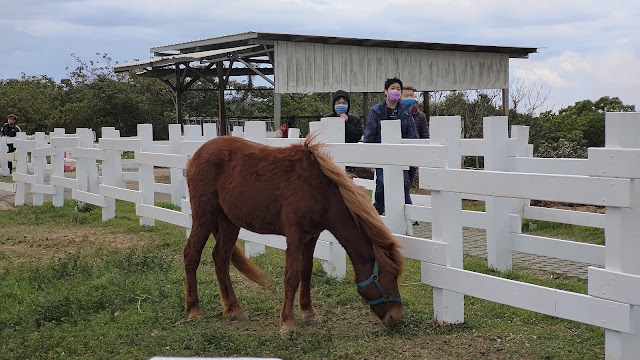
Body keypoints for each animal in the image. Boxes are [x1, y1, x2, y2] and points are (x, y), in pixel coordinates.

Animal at [182, 135, 402, 338]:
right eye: (392, 275)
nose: (396, 317)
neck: (320, 191)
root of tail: (198, 153)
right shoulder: (294, 235)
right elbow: (292, 277)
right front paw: (287, 324)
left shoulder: (311, 236)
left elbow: (306, 271)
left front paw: (309, 312)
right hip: (204, 217)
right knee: (191, 255)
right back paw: (194, 310)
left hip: (229, 222)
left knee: (221, 258)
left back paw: (233, 308)